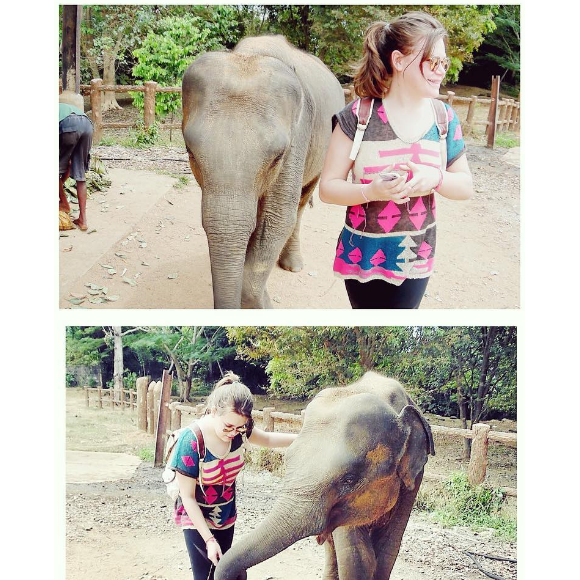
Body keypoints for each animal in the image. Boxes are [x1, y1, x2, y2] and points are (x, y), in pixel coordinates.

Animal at [181, 35, 344, 308]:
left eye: (277, 157)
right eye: (189, 151)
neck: (249, 55)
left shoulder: (298, 137)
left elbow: (277, 218)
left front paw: (262, 304)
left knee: (301, 203)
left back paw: (293, 265)